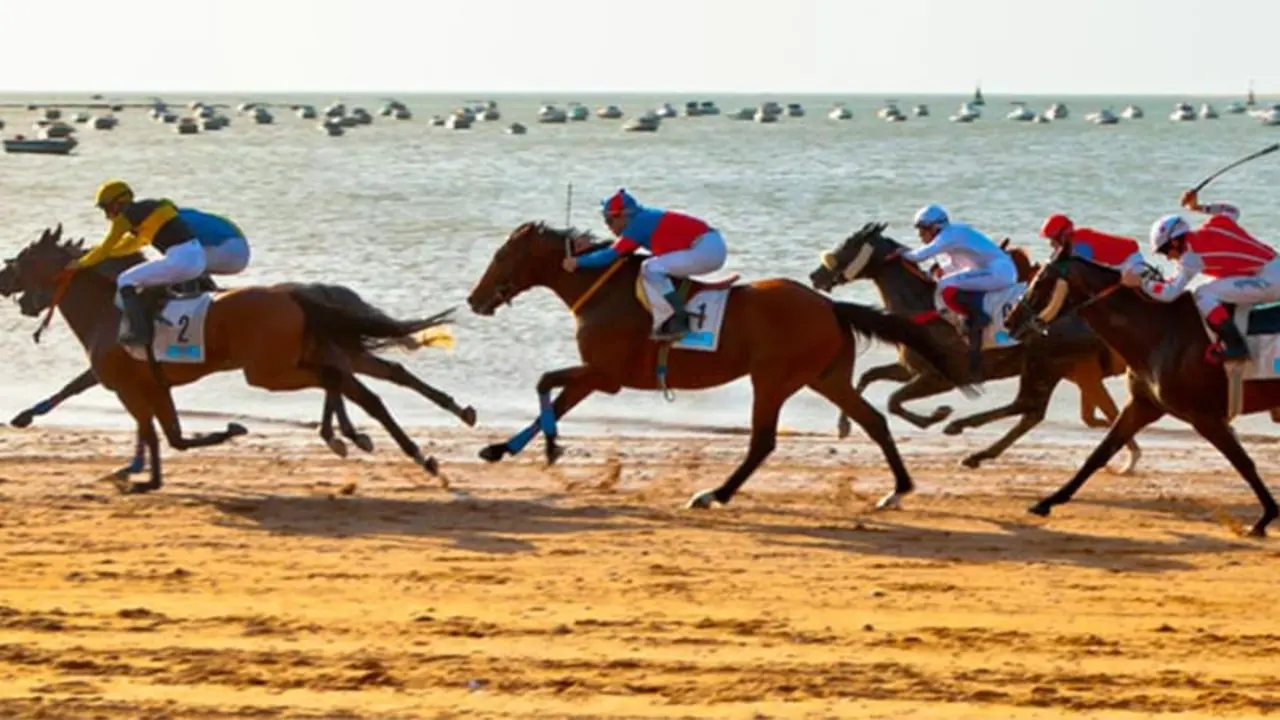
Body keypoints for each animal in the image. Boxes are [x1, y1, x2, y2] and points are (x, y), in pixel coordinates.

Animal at [0, 225, 476, 491]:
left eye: (22, 258)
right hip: (304, 359)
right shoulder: (143, 382)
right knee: (369, 386)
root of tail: (298, 296)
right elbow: (139, 421)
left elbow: (153, 429)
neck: (110, 305)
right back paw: (417, 449)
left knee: (341, 381)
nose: (4, 279)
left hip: (269, 370)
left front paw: (140, 472)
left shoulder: (128, 383)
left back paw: (349, 436)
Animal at [465, 221, 972, 507]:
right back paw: (897, 490)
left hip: (772, 378)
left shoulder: (604, 374)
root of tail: (830, 305)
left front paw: (536, 446)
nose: (473, 299)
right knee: (874, 422)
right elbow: (552, 396)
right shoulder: (597, 374)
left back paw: (715, 494)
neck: (604, 291)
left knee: (763, 441)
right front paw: (509, 448)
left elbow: (544, 384)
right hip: (825, 378)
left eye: (500, 255)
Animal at [808, 221, 1141, 474]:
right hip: (1051, 368)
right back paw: (977, 453)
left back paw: (961, 427)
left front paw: (937, 415)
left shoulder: (941, 376)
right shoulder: (910, 368)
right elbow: (868, 378)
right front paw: (843, 425)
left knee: (1025, 406)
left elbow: (893, 400)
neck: (920, 306)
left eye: (848, 245)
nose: (815, 275)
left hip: (1043, 364)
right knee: (1031, 413)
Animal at [1008, 249, 1280, 535]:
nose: (1009, 318)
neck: (1160, 331)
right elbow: (1100, 453)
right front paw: (1047, 501)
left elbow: (1243, 462)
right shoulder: (1144, 405)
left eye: (1040, 281)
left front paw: (1265, 518)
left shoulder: (1204, 416)